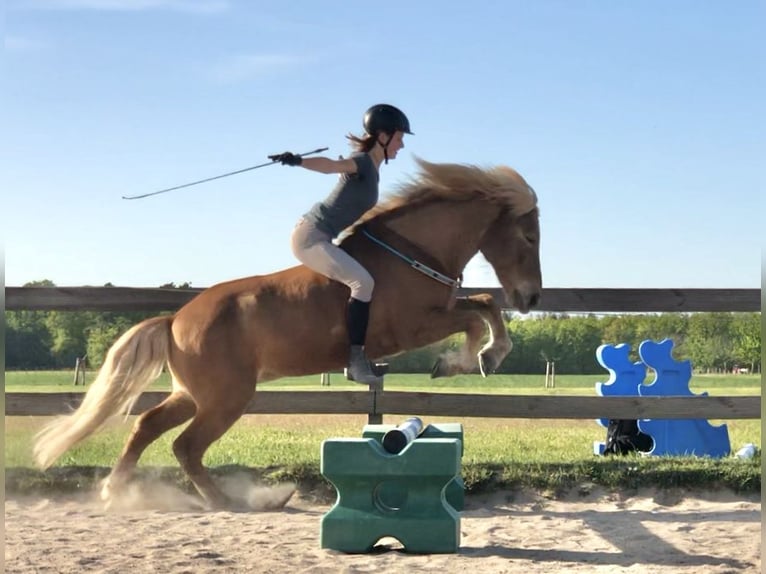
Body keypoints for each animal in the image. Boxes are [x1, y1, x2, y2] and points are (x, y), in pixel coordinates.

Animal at [33, 157, 542, 509]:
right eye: (529, 237)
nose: (532, 297)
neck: (412, 252)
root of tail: (175, 320)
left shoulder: (437, 312)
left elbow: (483, 304)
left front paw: (487, 355)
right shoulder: (415, 326)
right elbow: (475, 316)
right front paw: (467, 360)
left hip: (193, 393)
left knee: (147, 427)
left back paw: (117, 492)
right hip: (226, 398)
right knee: (185, 445)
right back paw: (228, 502)